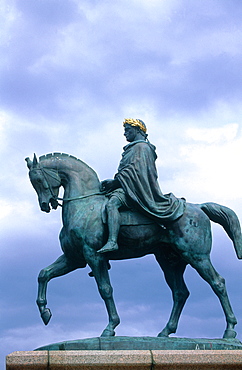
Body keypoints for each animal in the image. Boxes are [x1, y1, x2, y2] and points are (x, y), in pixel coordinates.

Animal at [25, 152, 242, 338]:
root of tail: (199, 207)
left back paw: (230, 330)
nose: (45, 205)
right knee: (180, 293)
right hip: (171, 262)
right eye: (33, 183)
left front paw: (111, 327)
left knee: (218, 283)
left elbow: (105, 289)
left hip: (196, 256)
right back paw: (166, 331)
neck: (84, 206)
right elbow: (44, 274)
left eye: (38, 180)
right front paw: (44, 311)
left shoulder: (94, 256)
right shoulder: (74, 259)